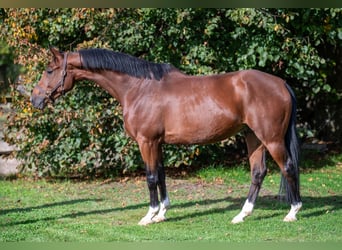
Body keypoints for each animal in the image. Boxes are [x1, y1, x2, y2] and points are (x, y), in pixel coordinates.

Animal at [30, 47, 300, 225]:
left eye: (49, 70)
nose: (34, 98)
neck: (138, 88)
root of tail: (281, 83)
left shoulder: (146, 142)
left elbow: (150, 178)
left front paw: (148, 215)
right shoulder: (156, 143)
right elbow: (160, 175)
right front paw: (161, 213)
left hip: (271, 139)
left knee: (288, 167)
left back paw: (293, 212)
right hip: (253, 137)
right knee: (258, 172)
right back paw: (242, 215)